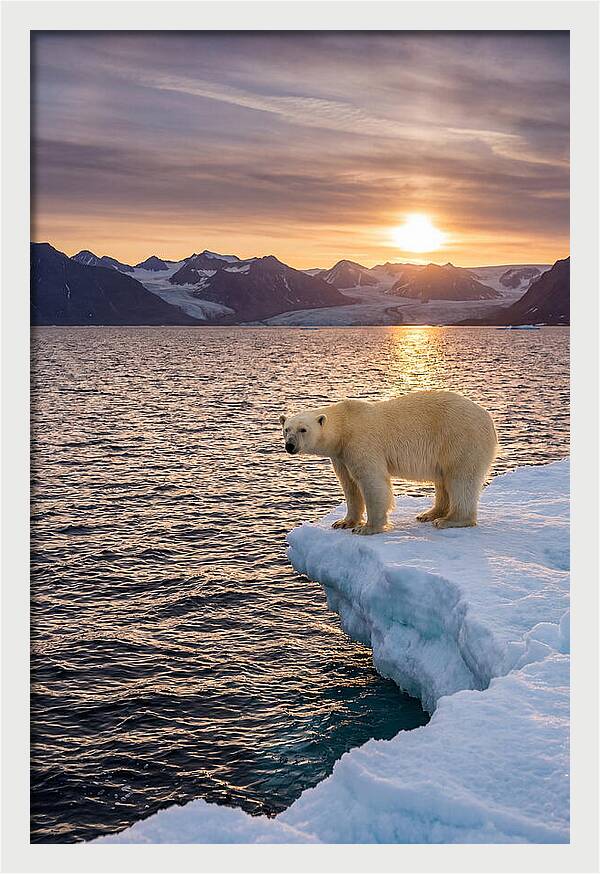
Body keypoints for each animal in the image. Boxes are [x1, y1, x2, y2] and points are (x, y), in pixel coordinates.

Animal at [280, 390, 498, 535]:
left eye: (303, 429)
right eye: (286, 429)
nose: (290, 445)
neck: (345, 425)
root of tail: (489, 418)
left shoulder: (361, 442)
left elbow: (372, 481)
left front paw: (367, 528)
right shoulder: (341, 455)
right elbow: (349, 485)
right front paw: (343, 522)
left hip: (460, 439)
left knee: (460, 478)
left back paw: (449, 520)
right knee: (443, 480)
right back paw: (429, 514)